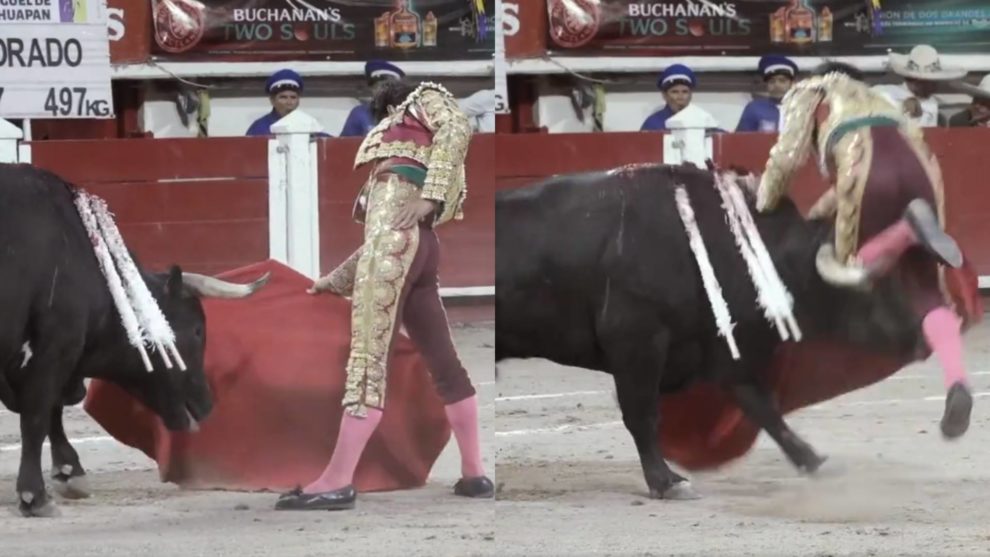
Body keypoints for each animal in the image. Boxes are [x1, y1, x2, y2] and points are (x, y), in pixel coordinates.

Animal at [0, 163, 270, 516]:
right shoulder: (54, 347)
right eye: (198, 330)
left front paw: (69, 473)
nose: (207, 405)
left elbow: (50, 410)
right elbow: (38, 414)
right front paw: (35, 495)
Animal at [496, 163, 936, 498]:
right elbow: (643, 414)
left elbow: (764, 408)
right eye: (870, 290)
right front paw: (667, 482)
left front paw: (814, 461)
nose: (923, 338)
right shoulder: (637, 343)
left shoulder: (723, 349)